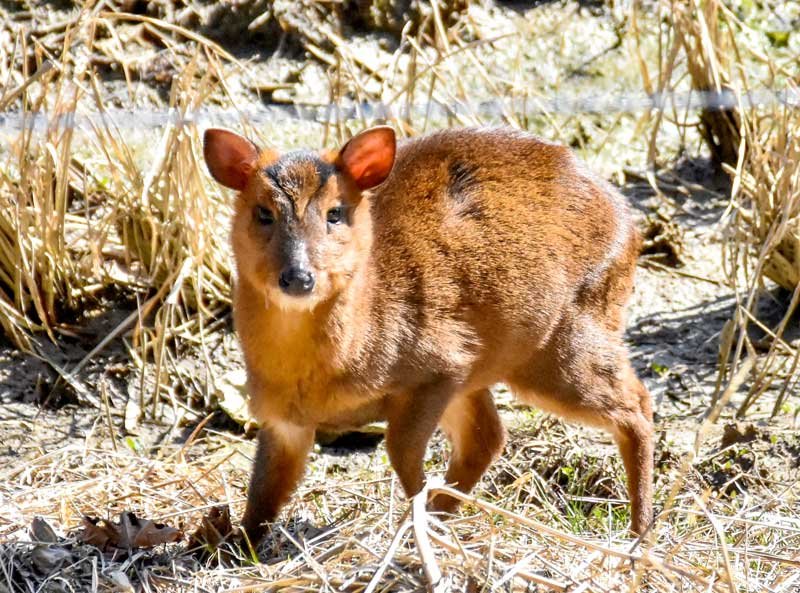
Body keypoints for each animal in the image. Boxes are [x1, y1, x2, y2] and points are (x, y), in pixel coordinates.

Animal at [202, 125, 654, 544]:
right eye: (263, 212)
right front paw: (231, 545)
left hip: (562, 343)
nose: (298, 277)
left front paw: (417, 526)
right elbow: (263, 492)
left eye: (335, 212)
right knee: (490, 438)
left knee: (637, 405)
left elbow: (402, 453)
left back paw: (640, 534)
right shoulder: (281, 419)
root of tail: (630, 224)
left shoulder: (437, 366)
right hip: (492, 366)